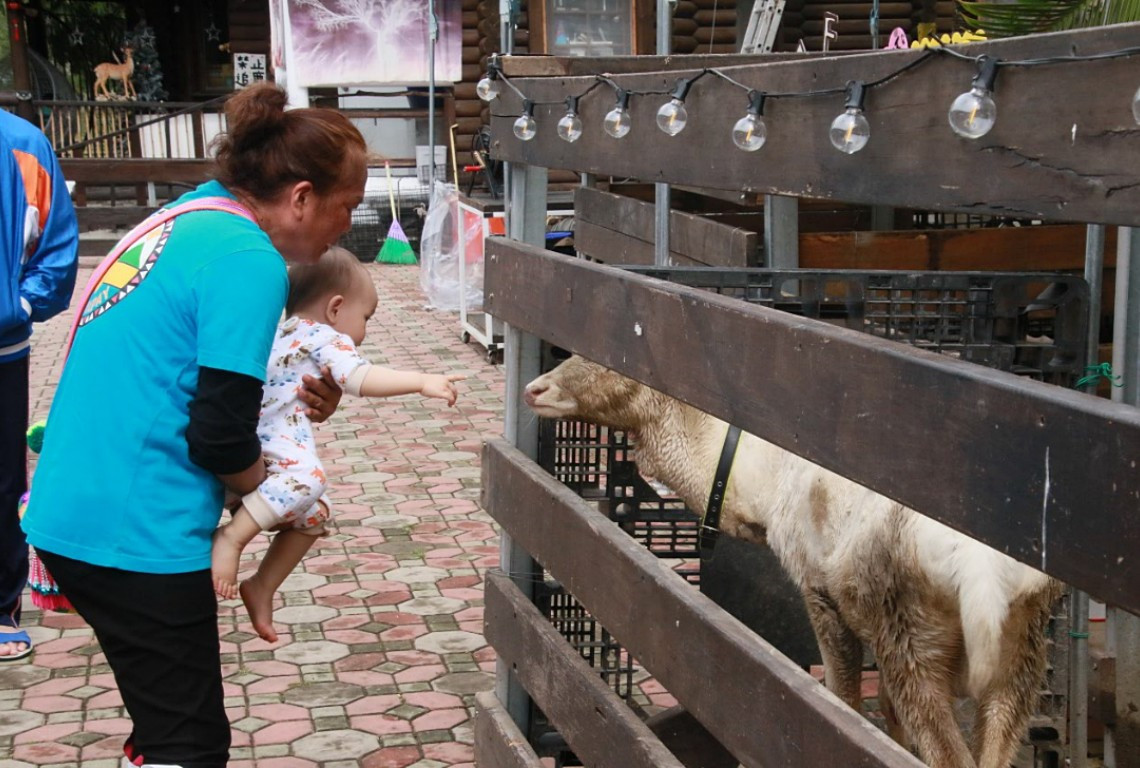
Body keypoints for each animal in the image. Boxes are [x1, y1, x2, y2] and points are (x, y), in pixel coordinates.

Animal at [524, 355, 1057, 765]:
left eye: (614, 359)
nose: (534, 389)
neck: (756, 493)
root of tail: (985, 574)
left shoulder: (820, 591)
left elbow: (845, 703)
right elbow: (887, 719)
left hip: (912, 639)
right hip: (1020, 657)